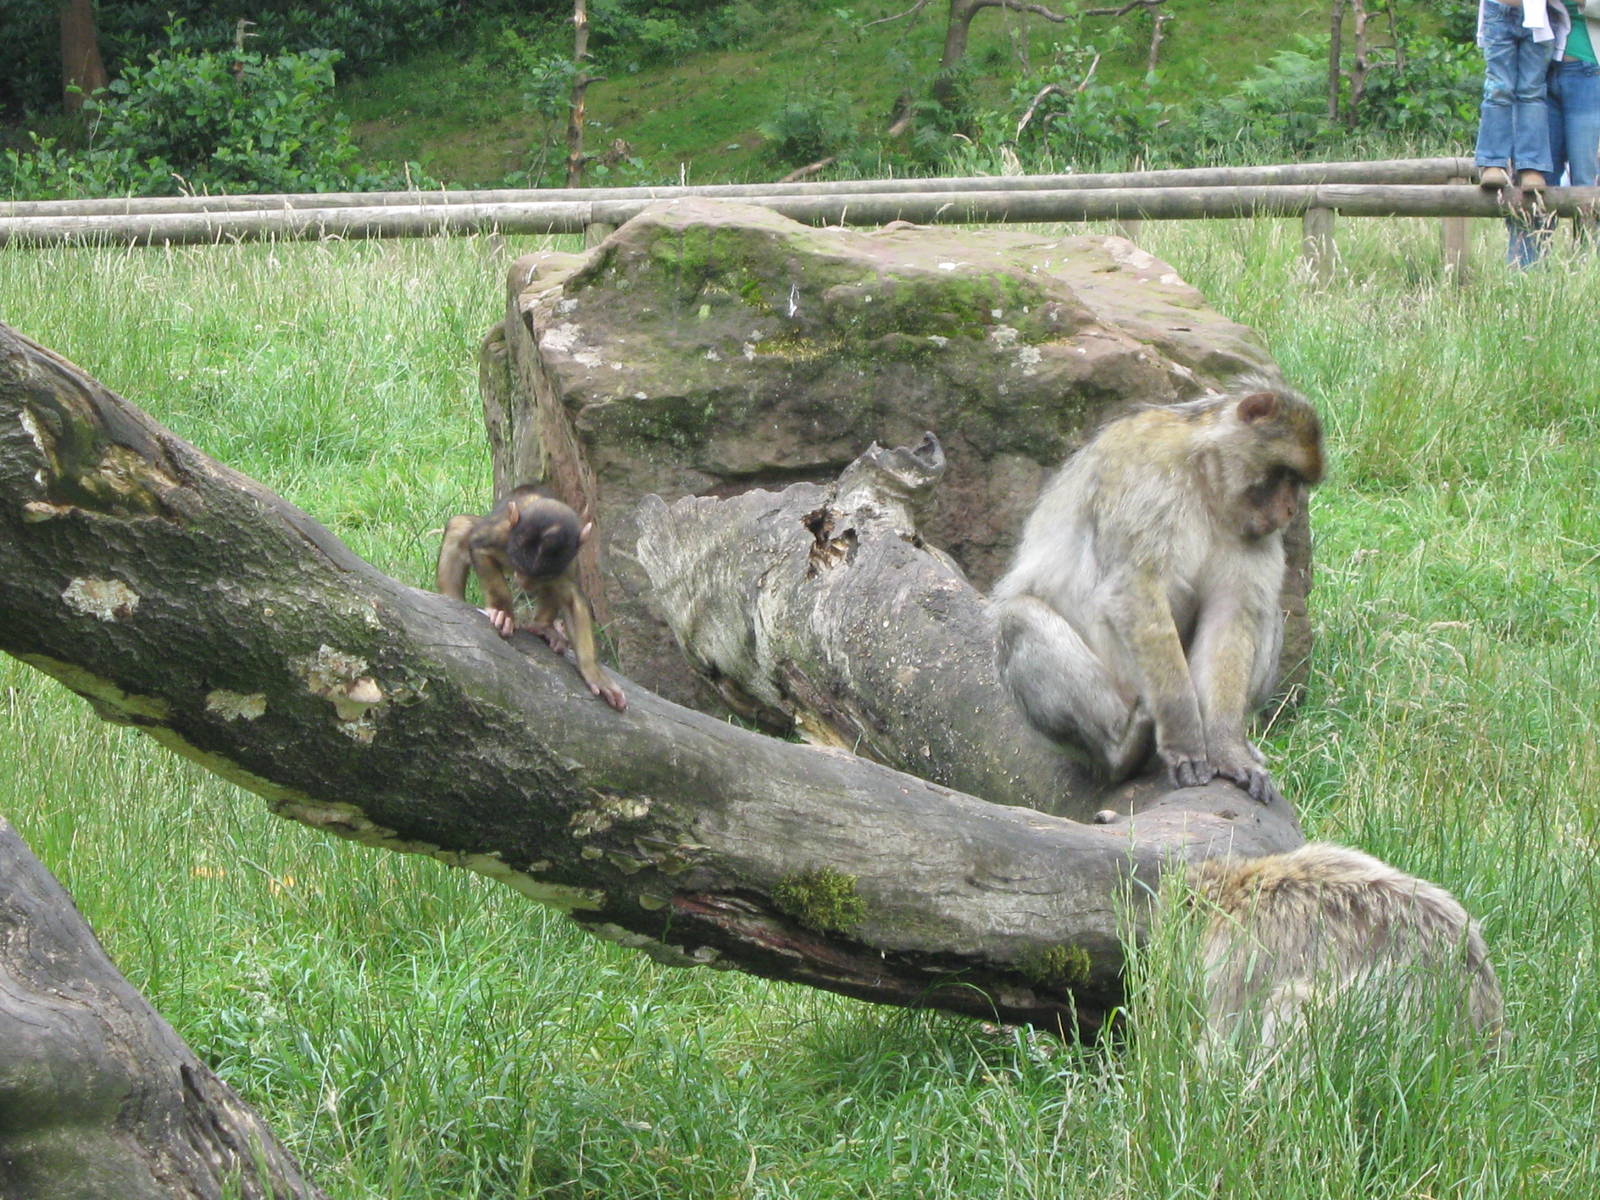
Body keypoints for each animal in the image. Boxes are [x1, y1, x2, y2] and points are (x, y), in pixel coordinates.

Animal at [436, 485, 627, 711]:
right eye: (519, 565)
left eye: (541, 574)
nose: (525, 583)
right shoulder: (499, 535)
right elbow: (479, 548)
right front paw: (503, 612)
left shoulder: (563, 566)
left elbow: (572, 600)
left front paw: (592, 671)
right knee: (461, 526)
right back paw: (451, 598)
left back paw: (543, 627)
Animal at [991, 381, 1324, 806]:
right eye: (1285, 475)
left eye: (1298, 483)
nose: (1289, 510)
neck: (1204, 479)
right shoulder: (1146, 483)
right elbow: (1135, 590)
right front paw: (1184, 737)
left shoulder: (1253, 532)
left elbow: (1232, 613)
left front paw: (1228, 749)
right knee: (1018, 617)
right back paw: (1123, 752)